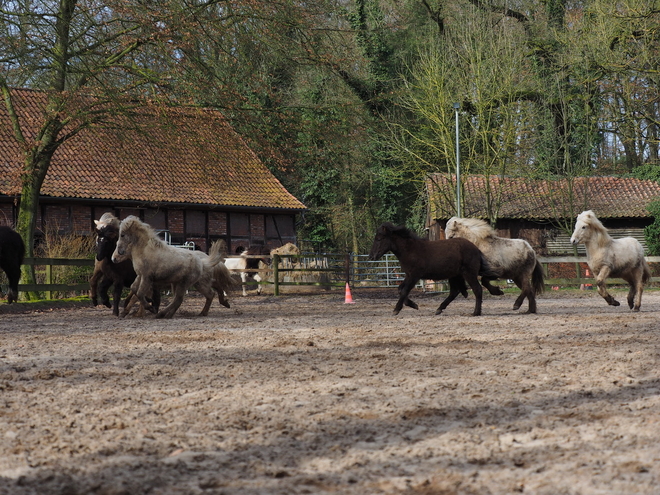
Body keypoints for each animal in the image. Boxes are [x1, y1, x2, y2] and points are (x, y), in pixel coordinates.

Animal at [368, 223, 498, 316]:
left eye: (379, 238)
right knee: (454, 292)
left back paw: (476, 312)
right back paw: (439, 309)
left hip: (468, 274)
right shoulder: (408, 275)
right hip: (454, 275)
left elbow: (404, 291)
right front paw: (413, 305)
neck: (409, 250)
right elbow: (400, 290)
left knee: (477, 289)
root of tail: (476, 249)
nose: (371, 256)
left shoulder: (414, 276)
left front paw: (396, 309)